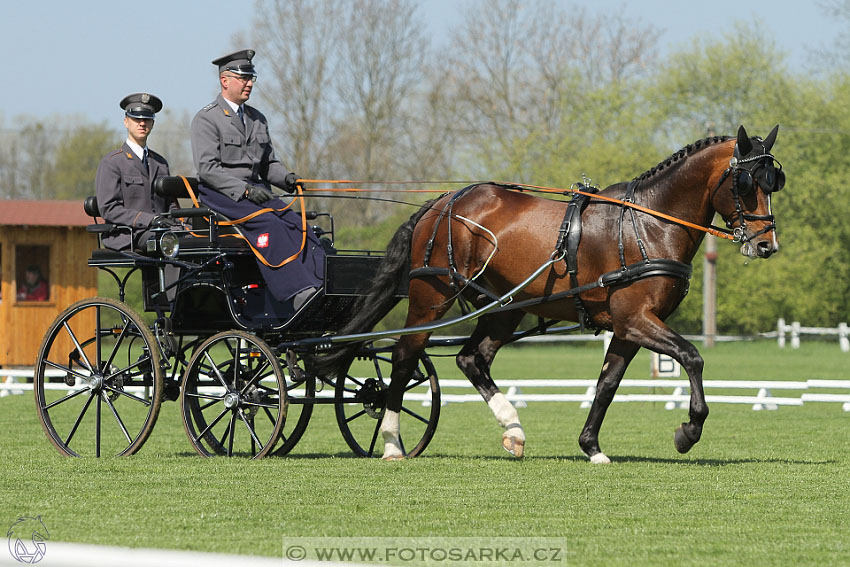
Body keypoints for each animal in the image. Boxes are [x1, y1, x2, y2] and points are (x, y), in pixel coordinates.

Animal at [320, 124, 780, 462]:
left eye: (774, 182)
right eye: (744, 182)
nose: (766, 245)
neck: (649, 224)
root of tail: (441, 203)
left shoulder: (627, 327)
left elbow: (607, 384)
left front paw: (591, 447)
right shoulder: (636, 319)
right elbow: (692, 356)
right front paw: (689, 430)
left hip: (504, 307)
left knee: (472, 359)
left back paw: (513, 429)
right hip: (431, 298)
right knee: (404, 355)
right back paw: (392, 442)